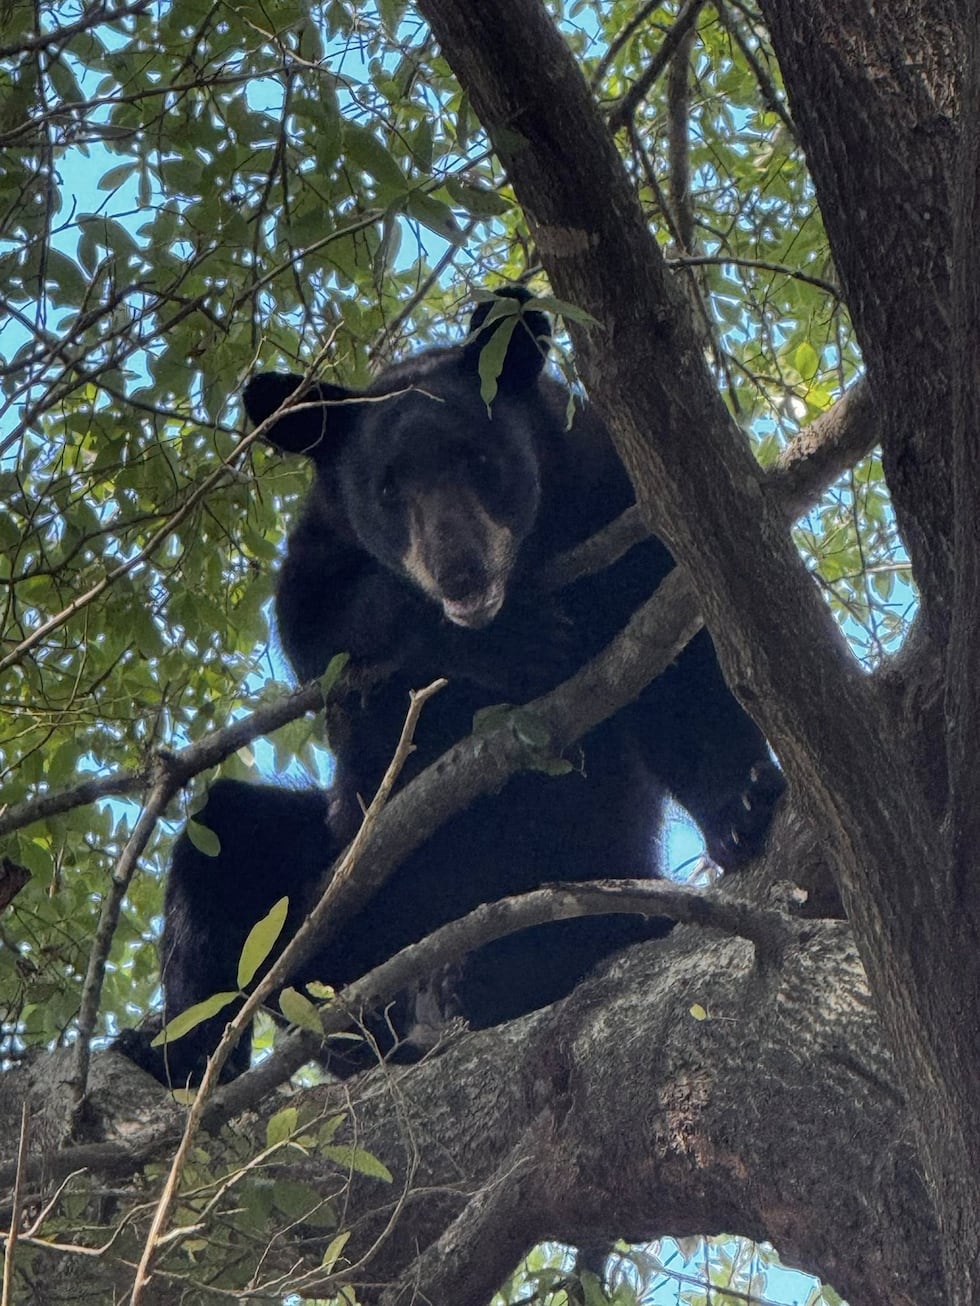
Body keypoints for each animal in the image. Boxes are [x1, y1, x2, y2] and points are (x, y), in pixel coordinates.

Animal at [118, 288, 783, 1086]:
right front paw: (511, 638)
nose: (460, 571)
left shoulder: (615, 499)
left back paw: (485, 975)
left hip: (576, 866)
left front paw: (742, 801)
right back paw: (180, 1054)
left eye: (481, 458)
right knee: (220, 844)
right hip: (336, 907)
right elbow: (319, 629)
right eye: (385, 487)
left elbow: (677, 671)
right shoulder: (320, 546)